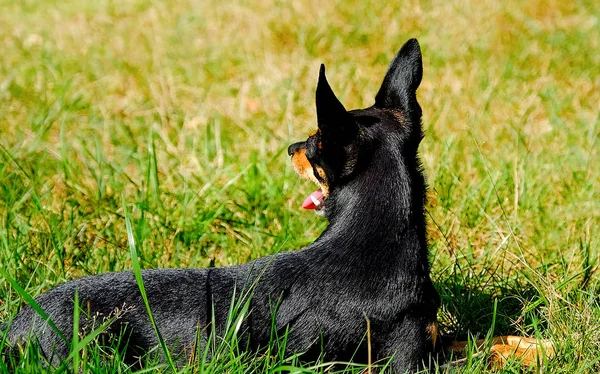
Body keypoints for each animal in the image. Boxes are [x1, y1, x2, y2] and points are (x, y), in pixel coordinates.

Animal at [2, 38, 552, 372]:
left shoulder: (427, 344)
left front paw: (535, 343)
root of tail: (14, 332)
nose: (290, 147)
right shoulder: (404, 362)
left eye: (311, 145)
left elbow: (480, 336)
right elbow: (479, 349)